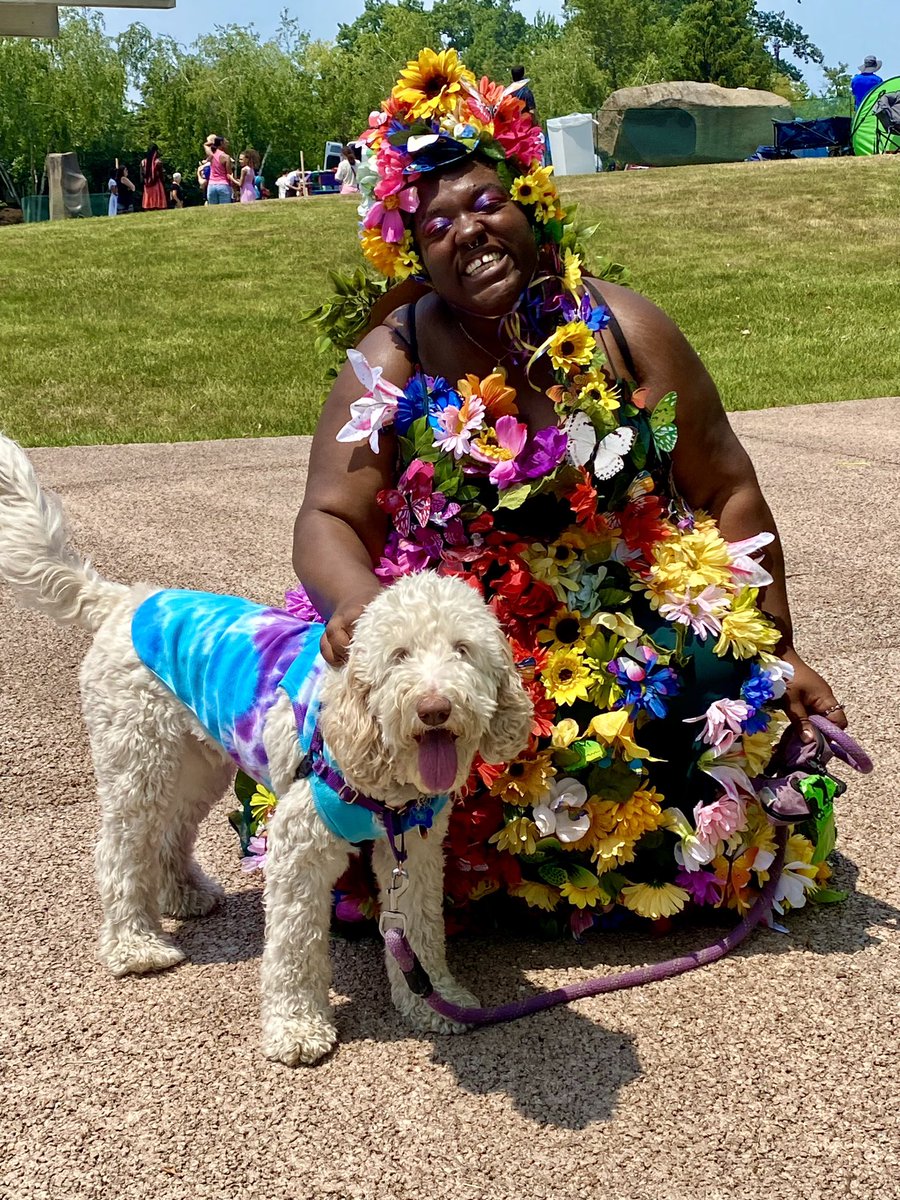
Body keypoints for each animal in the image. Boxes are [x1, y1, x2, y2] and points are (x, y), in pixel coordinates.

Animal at [0, 436, 535, 1065]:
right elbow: (295, 946)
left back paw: (185, 894)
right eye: (399, 655)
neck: (382, 778)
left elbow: (422, 928)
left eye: (462, 650)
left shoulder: (418, 850)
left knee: (172, 830)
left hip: (198, 762)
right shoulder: (299, 850)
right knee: (120, 850)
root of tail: (123, 598)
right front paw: (297, 1027)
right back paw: (135, 945)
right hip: (138, 758)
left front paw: (435, 1000)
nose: (433, 708)